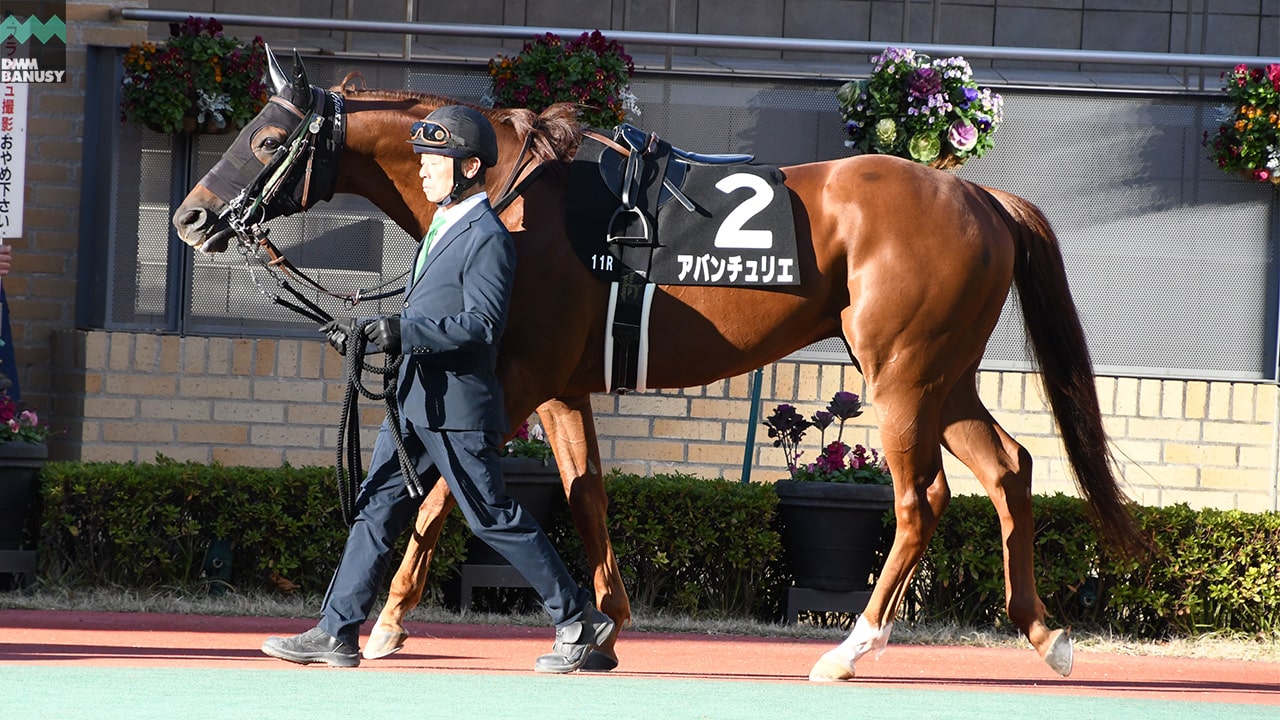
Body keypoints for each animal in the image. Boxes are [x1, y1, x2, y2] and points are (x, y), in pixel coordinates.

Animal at [170, 56, 1141, 676]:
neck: (511, 194)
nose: (190, 219)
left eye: (268, 143)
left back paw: (851, 648)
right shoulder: (561, 387)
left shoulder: (515, 380)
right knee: (1009, 469)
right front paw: (599, 629)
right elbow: (584, 494)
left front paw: (386, 628)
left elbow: (445, 492)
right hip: (945, 376)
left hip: (901, 376)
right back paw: (1043, 632)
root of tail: (980, 193)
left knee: (921, 499)